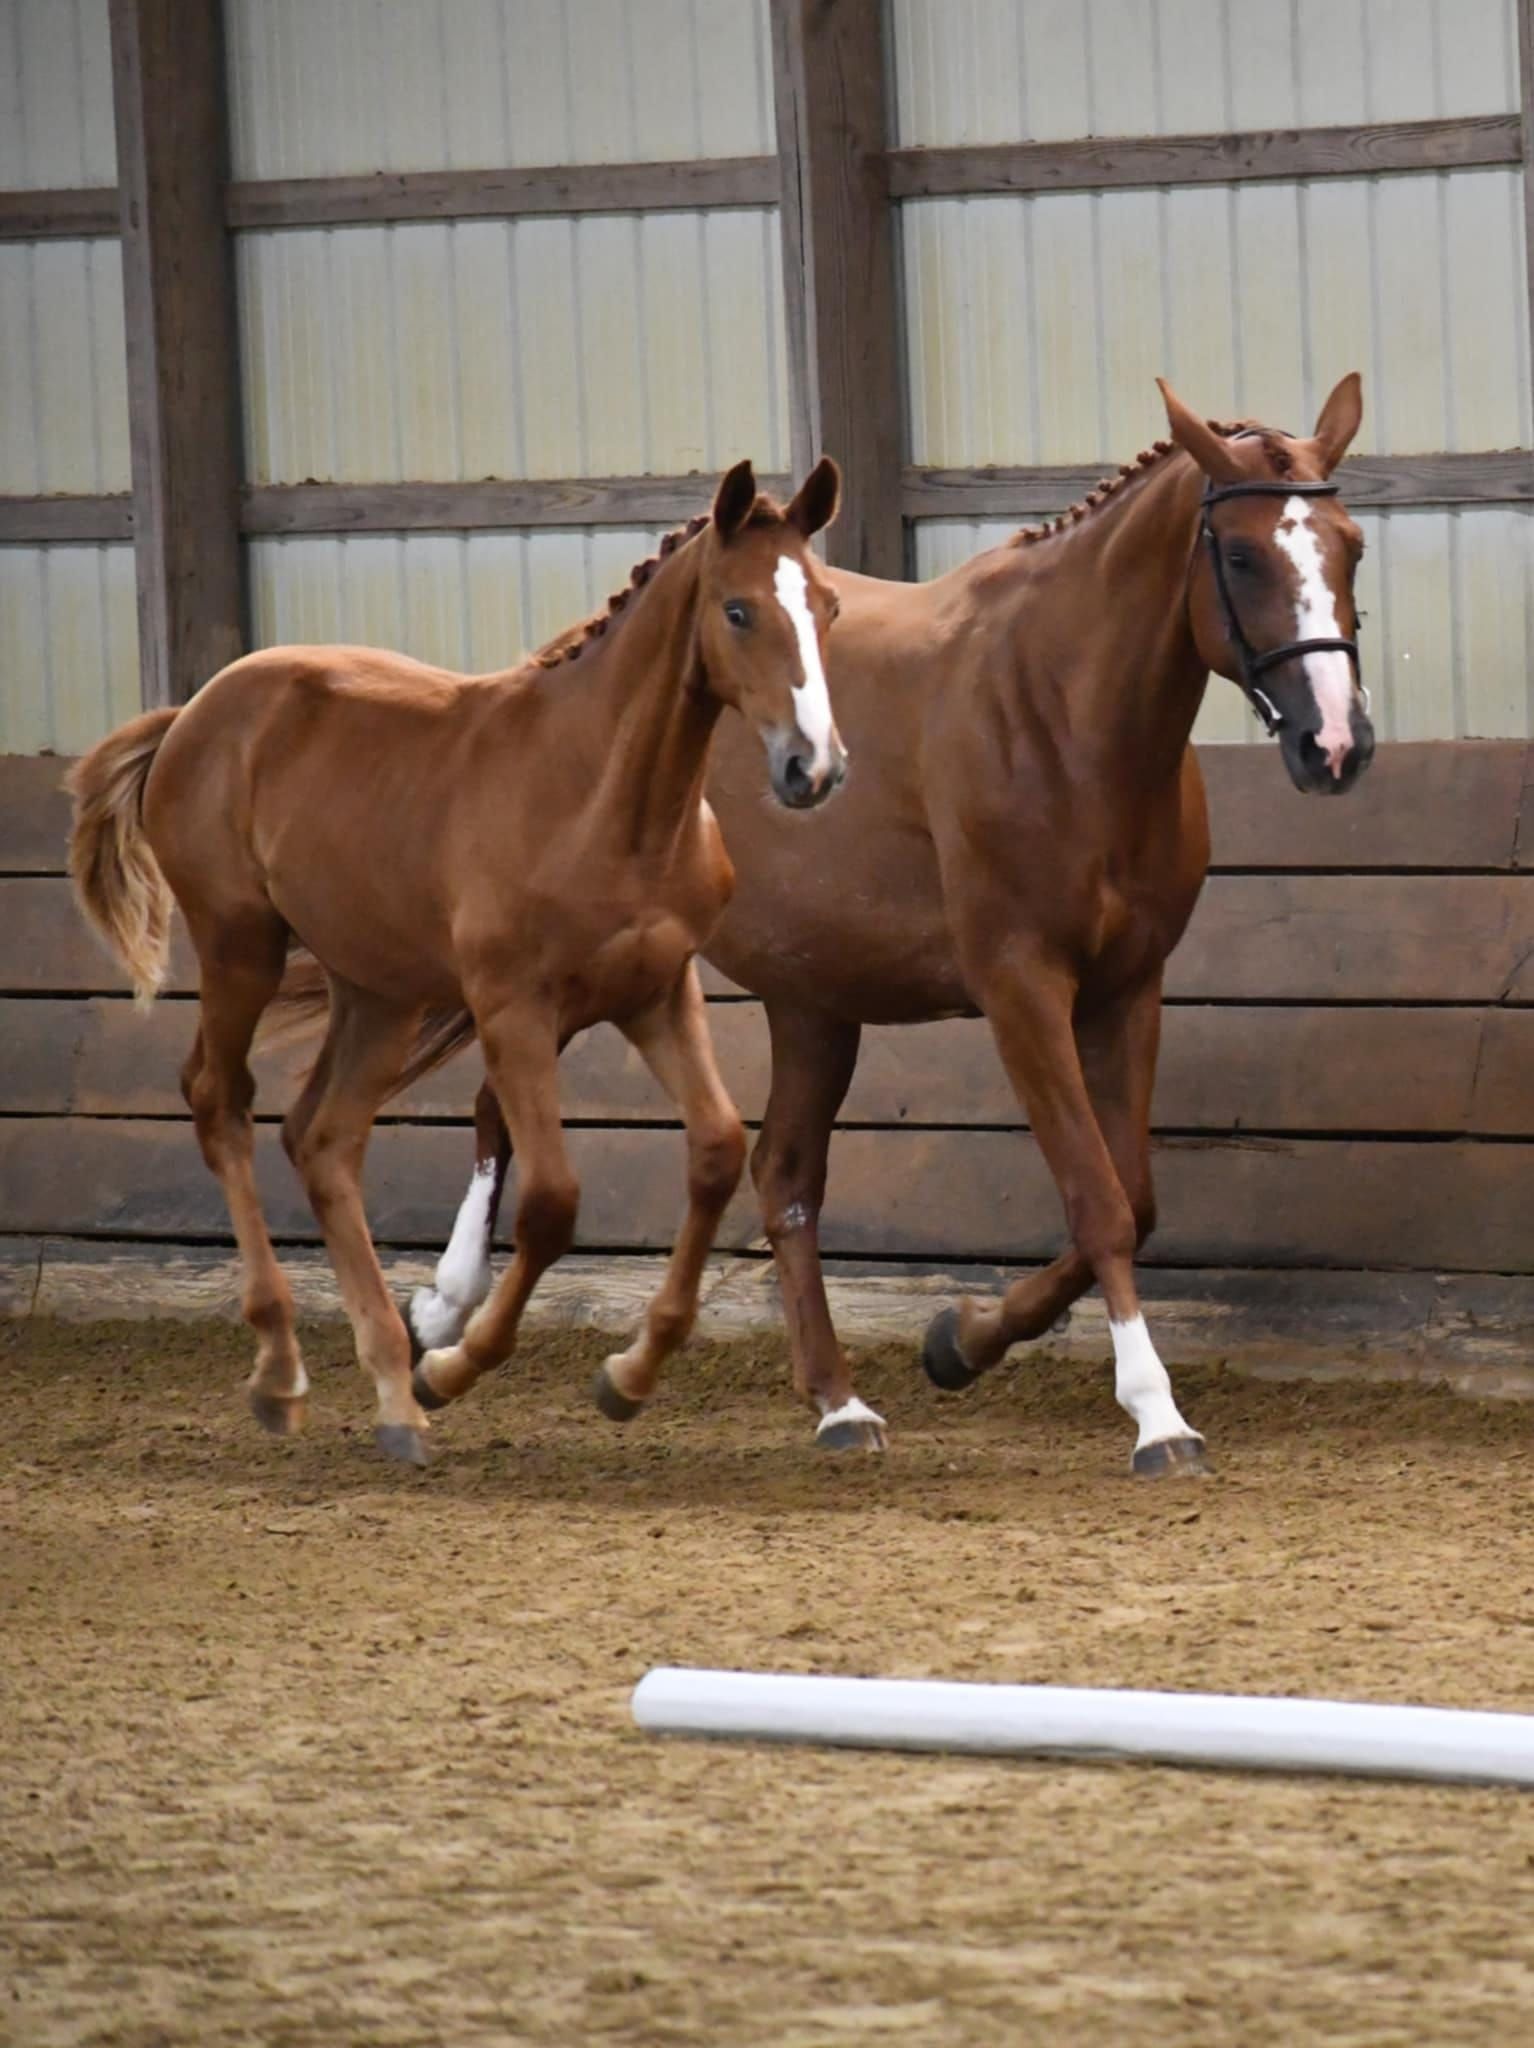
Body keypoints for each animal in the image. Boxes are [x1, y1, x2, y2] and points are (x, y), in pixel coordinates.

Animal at [67, 456, 845, 1466]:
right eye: (740, 609)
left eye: (828, 605)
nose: (813, 768)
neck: (601, 800)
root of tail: (193, 712)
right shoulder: (514, 1008)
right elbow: (551, 1199)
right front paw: (456, 1363)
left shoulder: (657, 991)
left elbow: (714, 1152)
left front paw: (627, 1376)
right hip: (241, 943)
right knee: (220, 1099)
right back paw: (287, 1372)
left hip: (378, 990)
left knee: (321, 1135)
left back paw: (395, 1399)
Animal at [339, 373, 1373, 1475]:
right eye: (1241, 554)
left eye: (1350, 545)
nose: (1335, 744)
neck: (1059, 710)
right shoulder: (1021, 988)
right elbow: (1097, 1199)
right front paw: (1156, 1415)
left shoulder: (1126, 987)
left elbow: (1132, 1197)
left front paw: (962, 1339)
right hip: (582, 977)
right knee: (500, 1110)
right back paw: (440, 1317)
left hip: (809, 1004)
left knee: (781, 1175)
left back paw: (835, 1401)